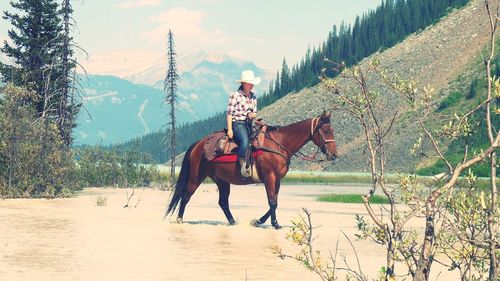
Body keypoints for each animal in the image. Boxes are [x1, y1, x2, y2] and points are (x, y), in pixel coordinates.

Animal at [166, 109, 338, 228]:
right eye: (325, 130)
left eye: (332, 130)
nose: (334, 155)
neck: (280, 144)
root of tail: (198, 144)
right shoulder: (269, 177)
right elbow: (272, 202)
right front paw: (274, 223)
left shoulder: (277, 180)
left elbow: (275, 201)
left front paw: (258, 221)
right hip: (197, 175)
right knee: (186, 195)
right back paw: (179, 219)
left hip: (221, 180)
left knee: (223, 202)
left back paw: (232, 221)